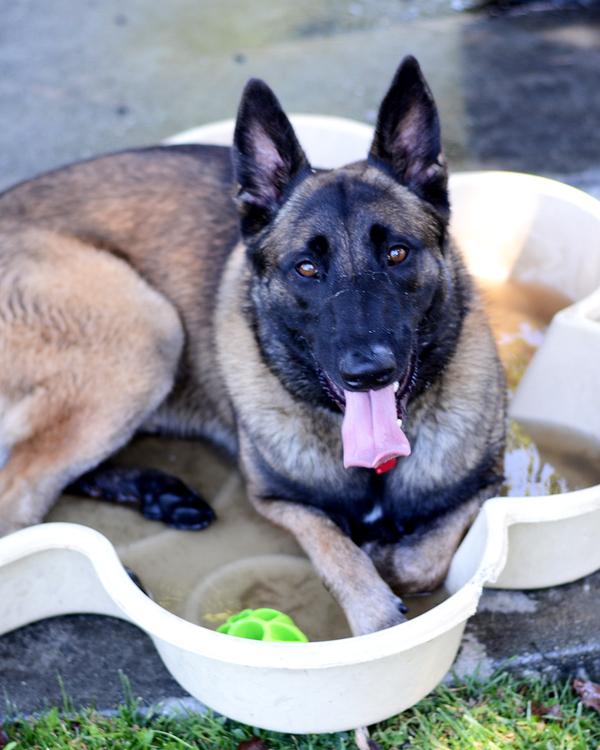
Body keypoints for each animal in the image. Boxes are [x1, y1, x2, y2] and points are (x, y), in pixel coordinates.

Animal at [0, 56, 505, 636]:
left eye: (397, 253)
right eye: (306, 268)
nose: (368, 371)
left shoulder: (490, 484)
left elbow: (422, 558)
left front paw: (392, 558)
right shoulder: (279, 501)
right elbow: (338, 552)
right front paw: (373, 606)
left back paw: (157, 494)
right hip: (147, 332)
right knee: (17, 496)